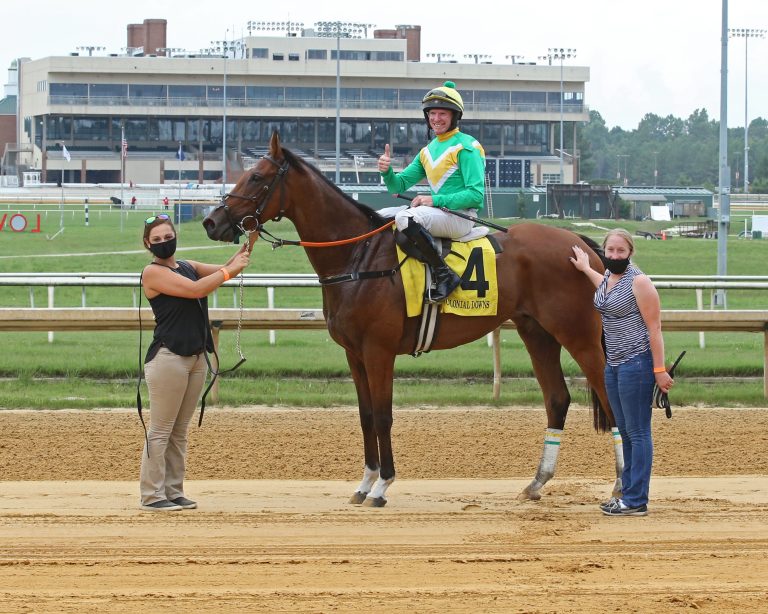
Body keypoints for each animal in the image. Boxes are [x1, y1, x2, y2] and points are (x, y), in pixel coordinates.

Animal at [201, 132, 620, 508]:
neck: (358, 257)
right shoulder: (354, 354)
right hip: (537, 332)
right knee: (557, 398)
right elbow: (366, 415)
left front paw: (383, 487)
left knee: (608, 392)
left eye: (256, 177)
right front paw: (364, 484)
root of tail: (581, 246)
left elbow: (384, 416)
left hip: (578, 333)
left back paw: (620, 486)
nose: (210, 222)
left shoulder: (379, 350)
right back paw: (536, 484)